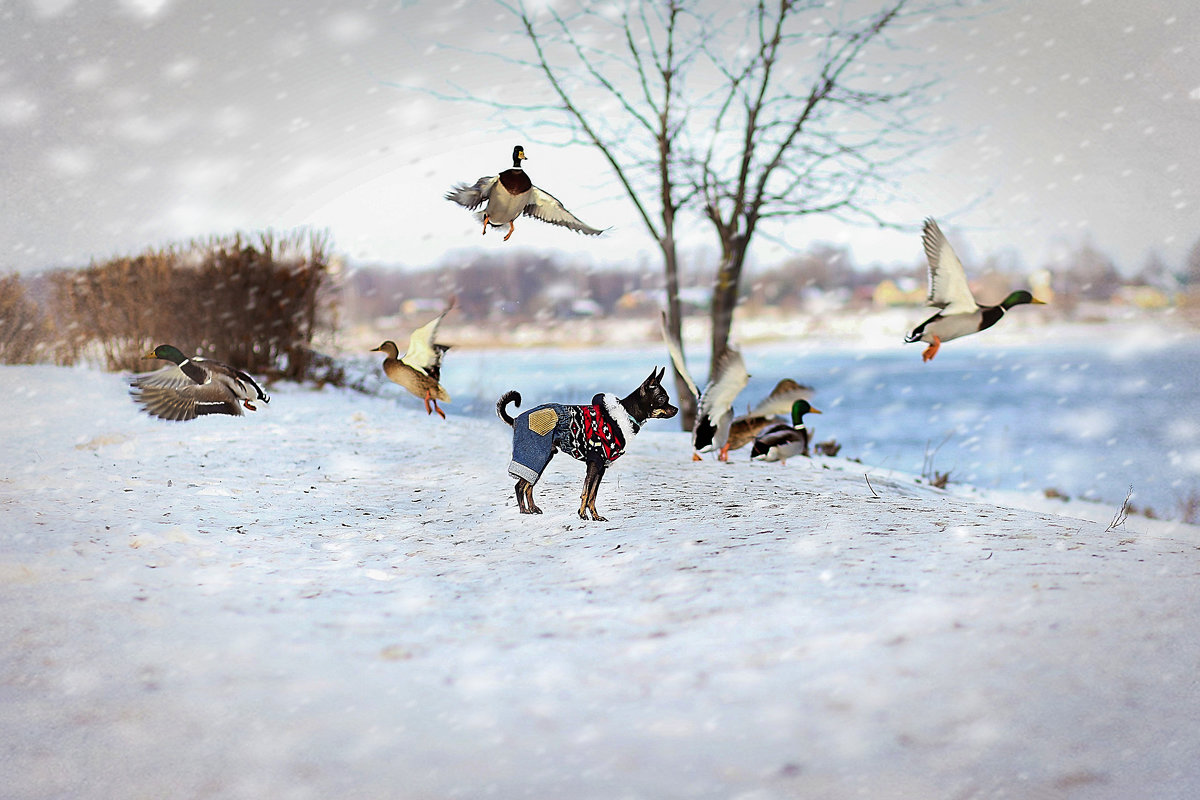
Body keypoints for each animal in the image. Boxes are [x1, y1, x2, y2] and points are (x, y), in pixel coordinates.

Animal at [496, 367, 681, 522]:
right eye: (662, 398)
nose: (676, 409)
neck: (624, 415)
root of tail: (515, 420)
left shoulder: (601, 467)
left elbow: (593, 494)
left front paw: (595, 516)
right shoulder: (594, 463)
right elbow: (586, 492)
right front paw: (582, 515)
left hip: (542, 458)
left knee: (528, 485)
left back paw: (533, 509)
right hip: (535, 457)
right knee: (519, 486)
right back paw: (524, 512)